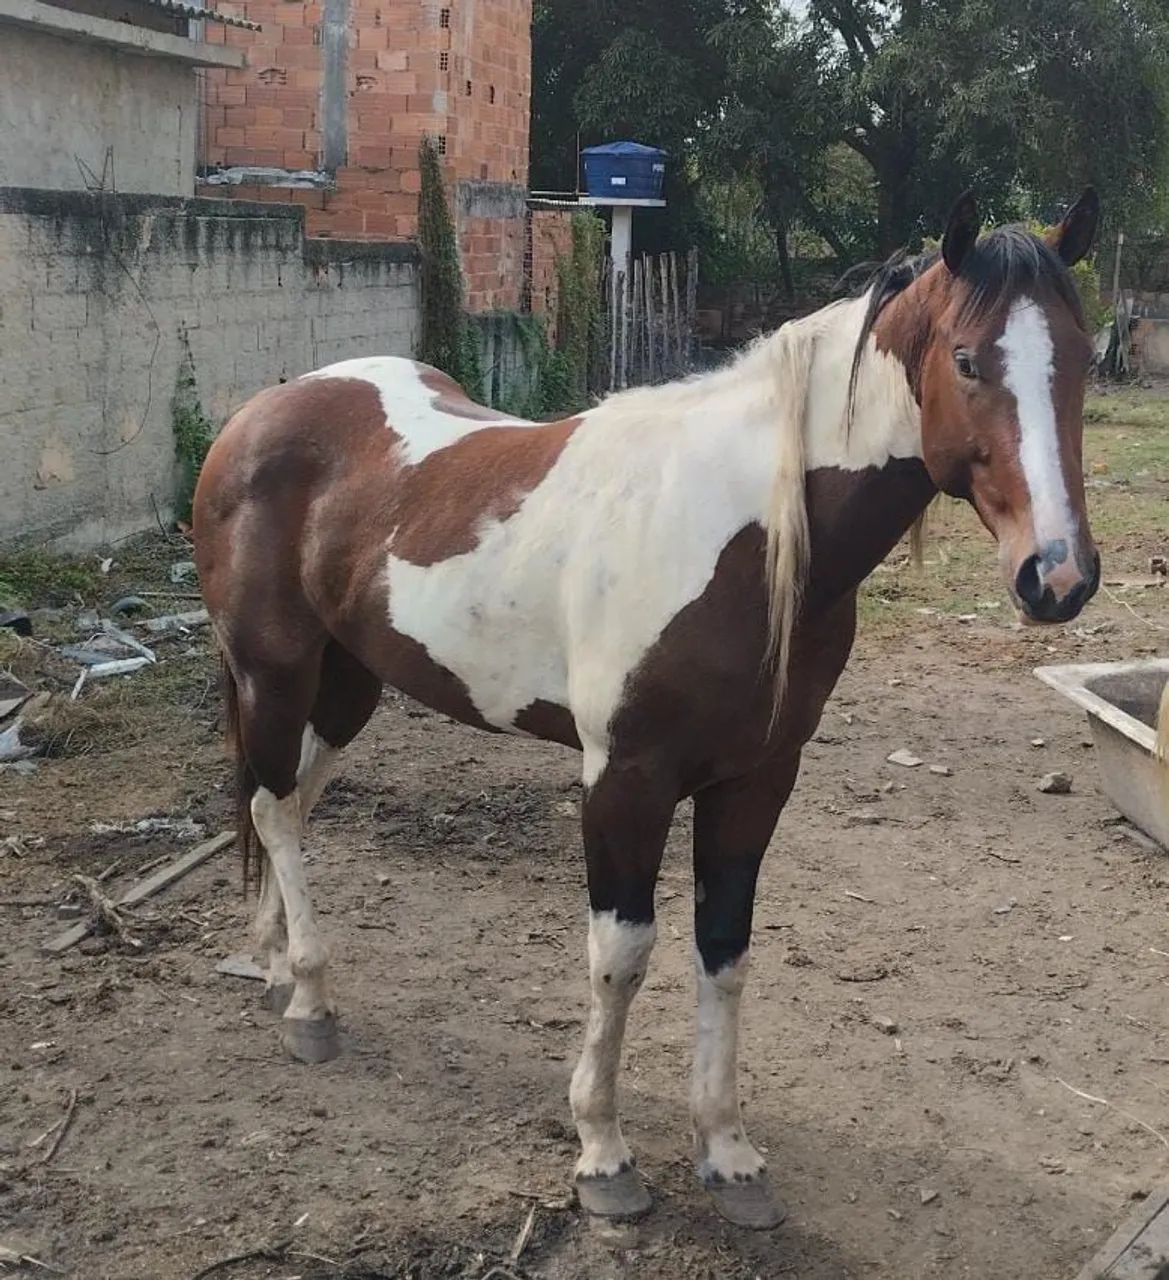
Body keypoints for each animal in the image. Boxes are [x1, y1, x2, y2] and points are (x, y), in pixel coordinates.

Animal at [193, 188, 1102, 1230]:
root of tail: (264, 410)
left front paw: (728, 1154)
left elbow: (725, 949)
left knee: (290, 804)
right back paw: (307, 1001)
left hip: (350, 685)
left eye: (1082, 355)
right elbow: (620, 954)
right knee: (273, 809)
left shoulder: (756, 779)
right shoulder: (624, 779)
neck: (743, 535)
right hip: (275, 672)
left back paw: (273, 965)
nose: (1057, 576)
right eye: (965, 360)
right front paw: (602, 1153)